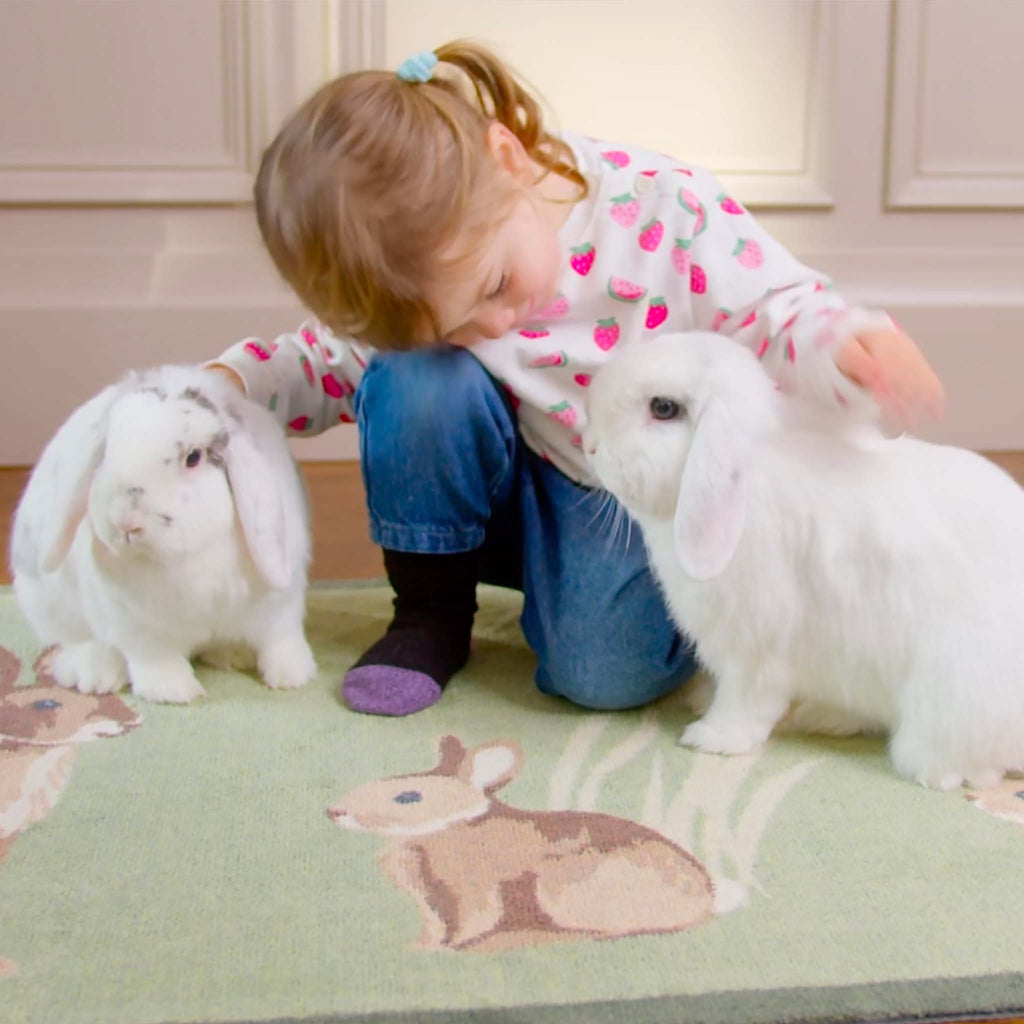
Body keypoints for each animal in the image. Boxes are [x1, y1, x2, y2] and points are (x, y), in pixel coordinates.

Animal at [9, 364, 317, 704]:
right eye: (107, 452)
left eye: (194, 457)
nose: (125, 522)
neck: (189, 556)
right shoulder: (140, 629)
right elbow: (156, 660)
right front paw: (175, 692)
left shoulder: (280, 608)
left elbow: (281, 641)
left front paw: (293, 676)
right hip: (51, 608)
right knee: (77, 642)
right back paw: (96, 676)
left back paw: (232, 655)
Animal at [327, 735, 715, 951]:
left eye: (408, 797)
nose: (334, 811)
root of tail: (707, 900)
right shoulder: (429, 903)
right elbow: (435, 928)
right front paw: (420, 948)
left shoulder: (475, 889)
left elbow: (475, 919)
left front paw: (451, 949)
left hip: (562, 887)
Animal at [582, 331, 1024, 791]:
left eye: (663, 408)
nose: (590, 446)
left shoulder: (753, 646)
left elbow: (745, 700)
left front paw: (712, 737)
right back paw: (826, 717)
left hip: (953, 694)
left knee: (975, 765)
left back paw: (937, 771)